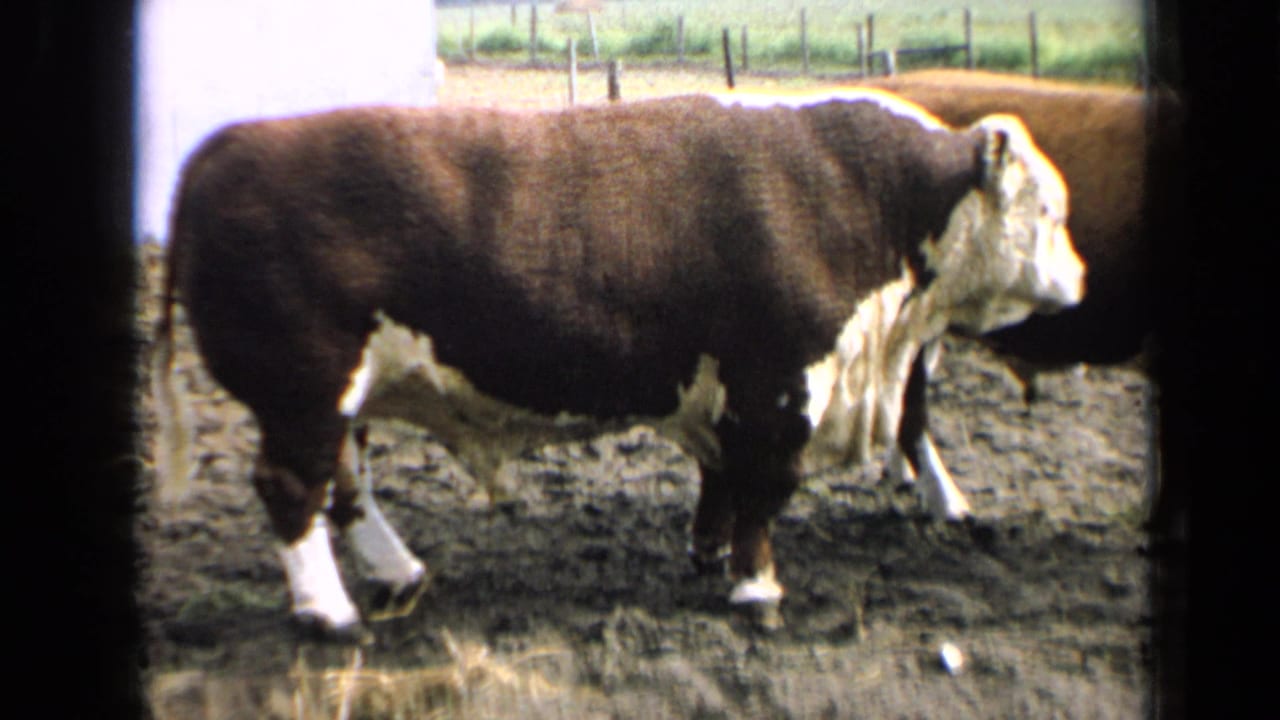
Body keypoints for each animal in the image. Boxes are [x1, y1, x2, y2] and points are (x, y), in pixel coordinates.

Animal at [152, 88, 1083, 639]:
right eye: (1050, 210)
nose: (1080, 279)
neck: (861, 194)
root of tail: (228, 143)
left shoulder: (727, 392)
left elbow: (722, 483)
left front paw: (709, 555)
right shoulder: (780, 385)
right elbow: (763, 494)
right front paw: (756, 589)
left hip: (338, 398)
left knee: (345, 488)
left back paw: (398, 571)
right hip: (304, 391)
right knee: (293, 491)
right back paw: (330, 611)